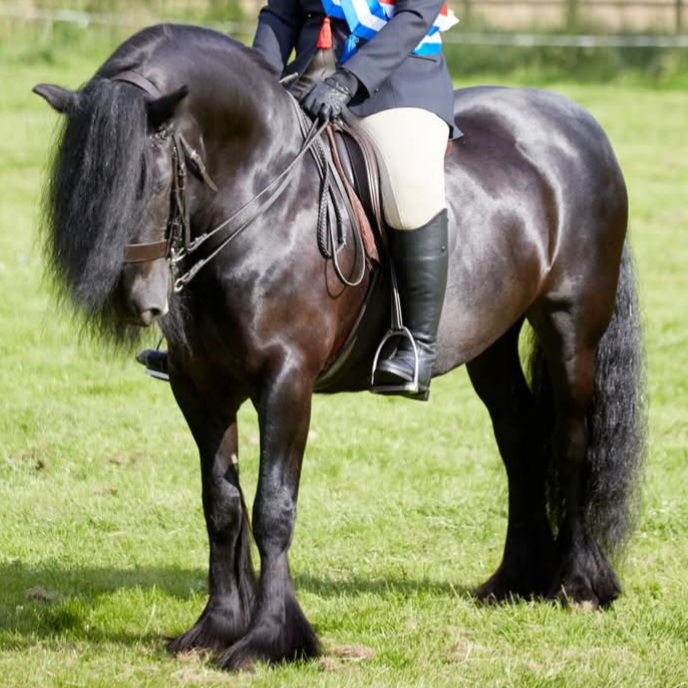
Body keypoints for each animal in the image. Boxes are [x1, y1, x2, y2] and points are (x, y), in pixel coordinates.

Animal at [33, 24, 645, 670]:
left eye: (149, 177)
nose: (136, 303)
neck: (263, 202)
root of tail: (574, 120)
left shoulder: (286, 381)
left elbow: (273, 509)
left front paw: (270, 639)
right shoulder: (199, 387)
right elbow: (221, 507)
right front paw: (214, 628)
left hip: (570, 326)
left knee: (572, 438)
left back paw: (578, 584)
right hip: (492, 343)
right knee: (520, 436)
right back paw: (514, 580)